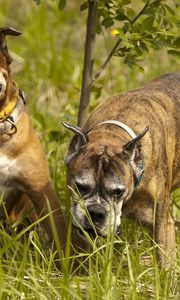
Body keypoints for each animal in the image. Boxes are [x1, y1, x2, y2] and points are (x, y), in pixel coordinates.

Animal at [62, 72, 179, 268]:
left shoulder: (162, 223)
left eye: (118, 192)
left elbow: (165, 261)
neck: (111, 134)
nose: (96, 212)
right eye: (80, 186)